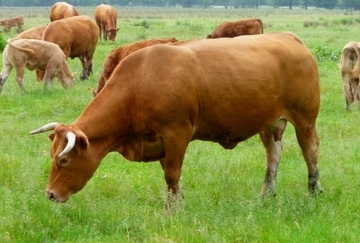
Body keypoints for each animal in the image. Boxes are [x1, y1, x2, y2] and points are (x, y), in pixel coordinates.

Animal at [31, 32, 324, 207]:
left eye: (64, 160)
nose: (50, 194)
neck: (139, 83)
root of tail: (287, 37)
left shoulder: (176, 135)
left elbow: (172, 175)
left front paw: (172, 208)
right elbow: (170, 176)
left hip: (305, 120)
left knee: (310, 151)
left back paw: (314, 190)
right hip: (270, 124)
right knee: (273, 155)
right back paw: (267, 194)